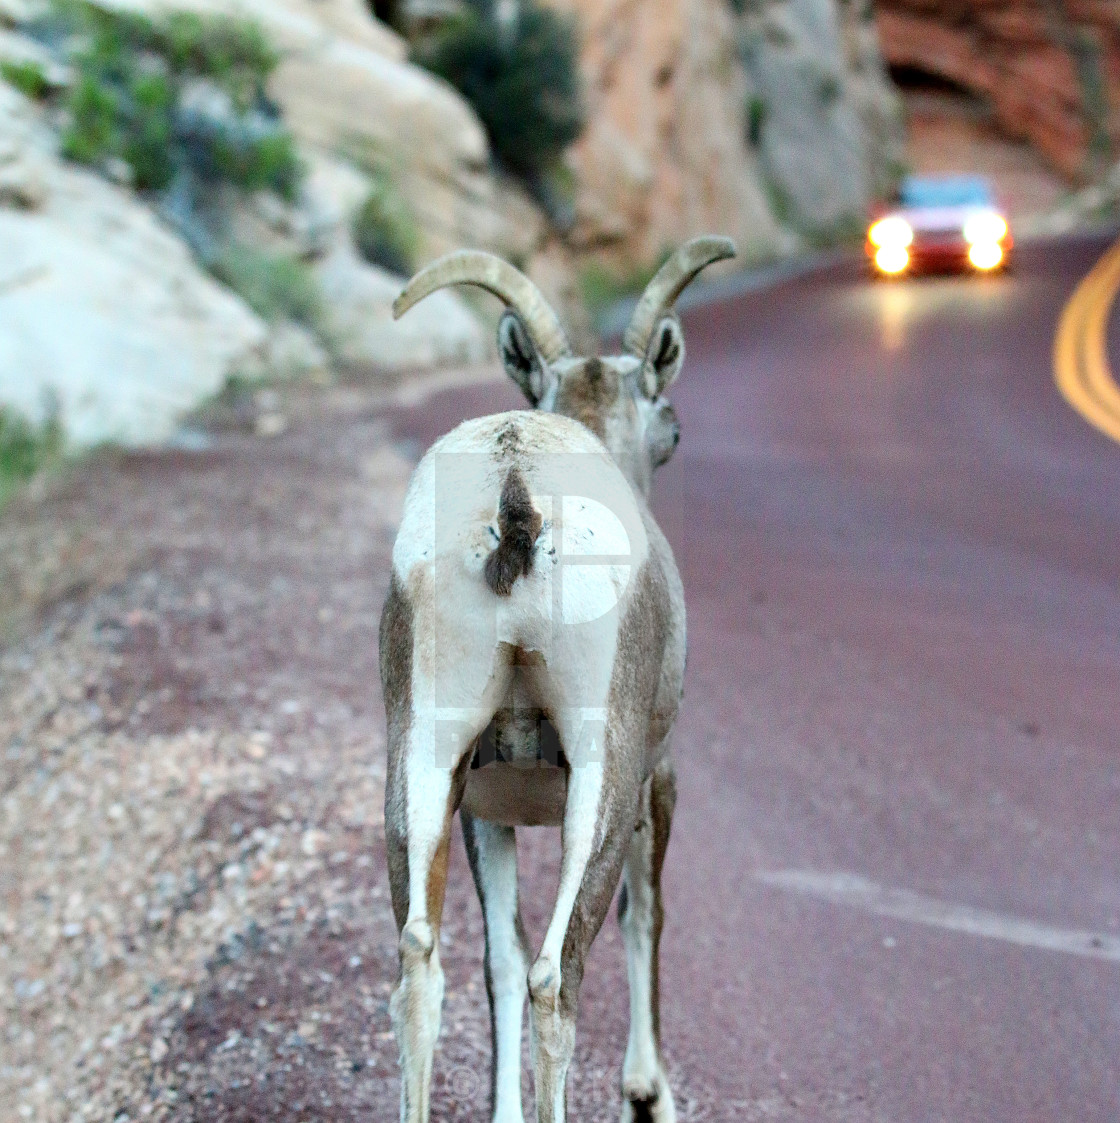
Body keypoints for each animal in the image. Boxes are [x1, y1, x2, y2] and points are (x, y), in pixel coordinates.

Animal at [384, 236, 732, 1123]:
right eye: (672, 427)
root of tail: (519, 497)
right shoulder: (653, 781)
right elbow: (645, 919)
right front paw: (648, 1093)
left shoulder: (486, 808)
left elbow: (496, 960)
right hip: (599, 781)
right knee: (555, 977)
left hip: (422, 762)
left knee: (423, 961)